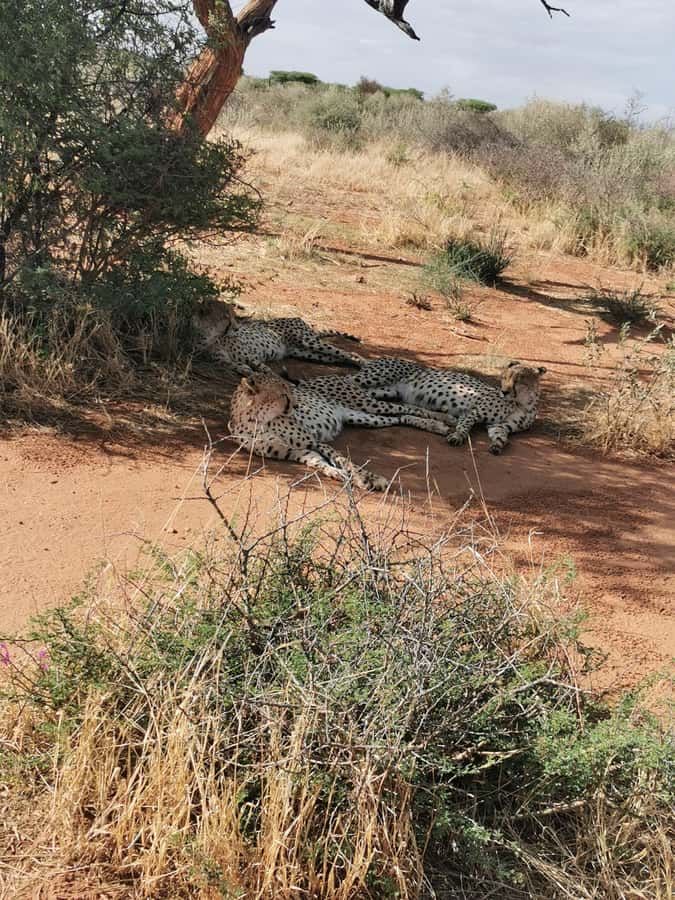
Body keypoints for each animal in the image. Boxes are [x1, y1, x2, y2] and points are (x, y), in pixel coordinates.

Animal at [192, 298, 363, 376]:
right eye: (226, 317)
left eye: (234, 315)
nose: (237, 327)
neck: (212, 337)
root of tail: (298, 318)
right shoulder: (220, 361)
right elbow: (233, 365)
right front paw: (245, 370)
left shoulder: (252, 357)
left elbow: (265, 369)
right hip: (307, 352)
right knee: (343, 356)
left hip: (308, 341)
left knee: (346, 353)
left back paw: (365, 364)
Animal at [228, 372, 452, 490]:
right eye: (283, 393)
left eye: (289, 390)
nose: (296, 403)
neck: (258, 421)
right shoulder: (294, 451)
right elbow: (317, 462)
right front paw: (336, 474)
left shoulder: (314, 441)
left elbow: (344, 459)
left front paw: (367, 478)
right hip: (362, 417)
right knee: (399, 418)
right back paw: (437, 426)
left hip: (367, 404)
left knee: (407, 407)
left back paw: (445, 419)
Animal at [353, 358, 546, 454]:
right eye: (504, 377)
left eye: (518, 380)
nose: (504, 391)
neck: (522, 403)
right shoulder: (473, 412)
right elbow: (465, 427)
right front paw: (457, 437)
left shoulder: (498, 426)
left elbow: (501, 437)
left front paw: (497, 446)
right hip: (373, 378)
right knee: (348, 381)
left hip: (386, 391)